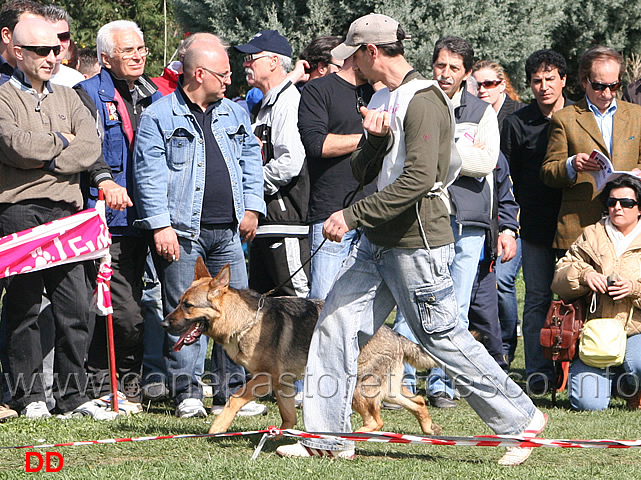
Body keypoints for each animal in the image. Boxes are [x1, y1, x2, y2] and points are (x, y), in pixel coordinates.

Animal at [161, 258, 440, 436]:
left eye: (188, 306)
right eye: (179, 302)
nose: (163, 324)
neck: (245, 320)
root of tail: (396, 335)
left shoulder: (263, 379)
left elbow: (234, 399)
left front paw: (218, 428)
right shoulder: (282, 383)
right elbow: (288, 417)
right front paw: (279, 434)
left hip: (358, 388)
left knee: (377, 421)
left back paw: (350, 436)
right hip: (387, 390)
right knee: (417, 401)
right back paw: (428, 428)